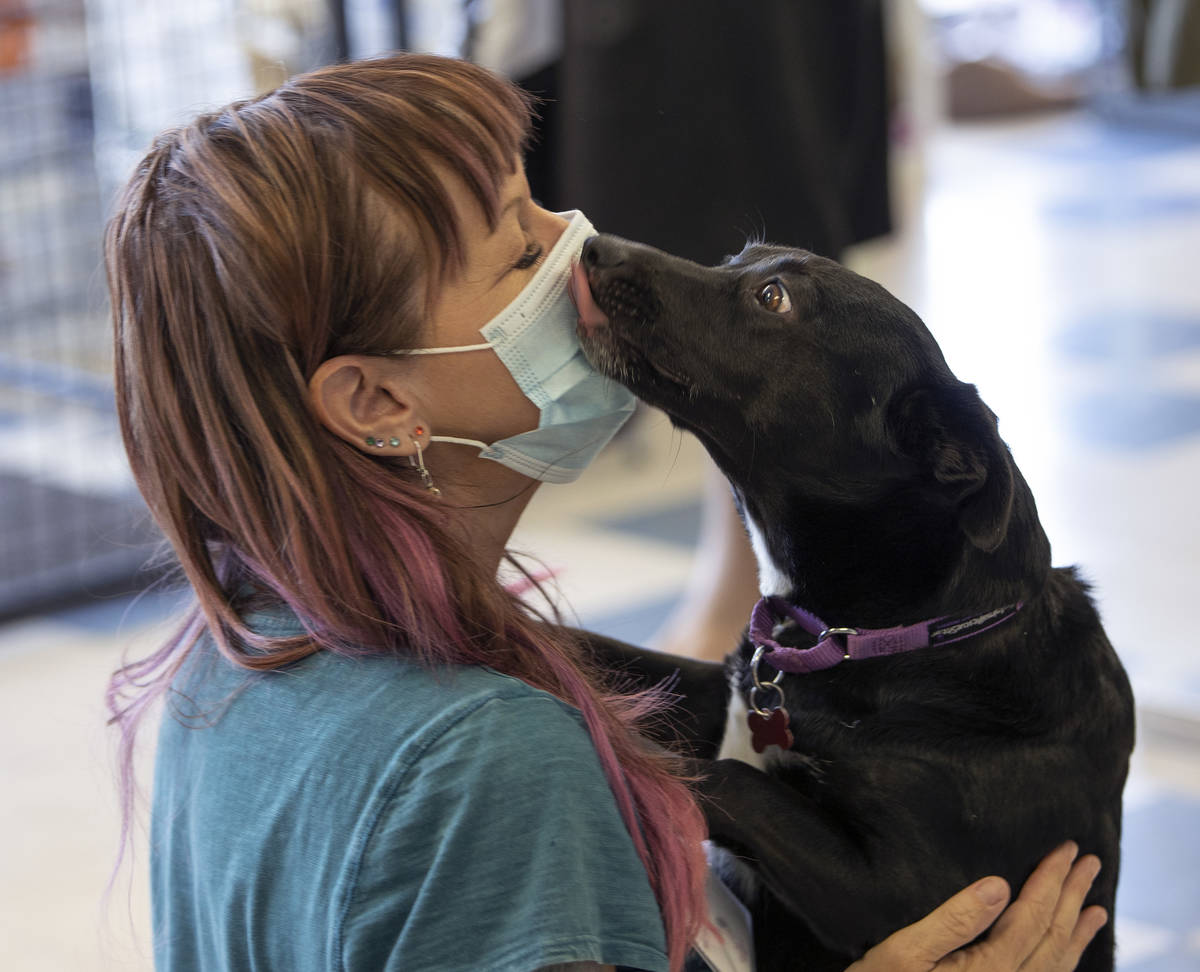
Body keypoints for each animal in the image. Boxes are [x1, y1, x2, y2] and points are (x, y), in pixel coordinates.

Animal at [571, 236, 1132, 969]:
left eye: (773, 298)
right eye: (737, 256)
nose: (594, 246)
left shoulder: (909, 893)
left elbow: (727, 781)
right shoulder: (713, 691)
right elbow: (604, 655)